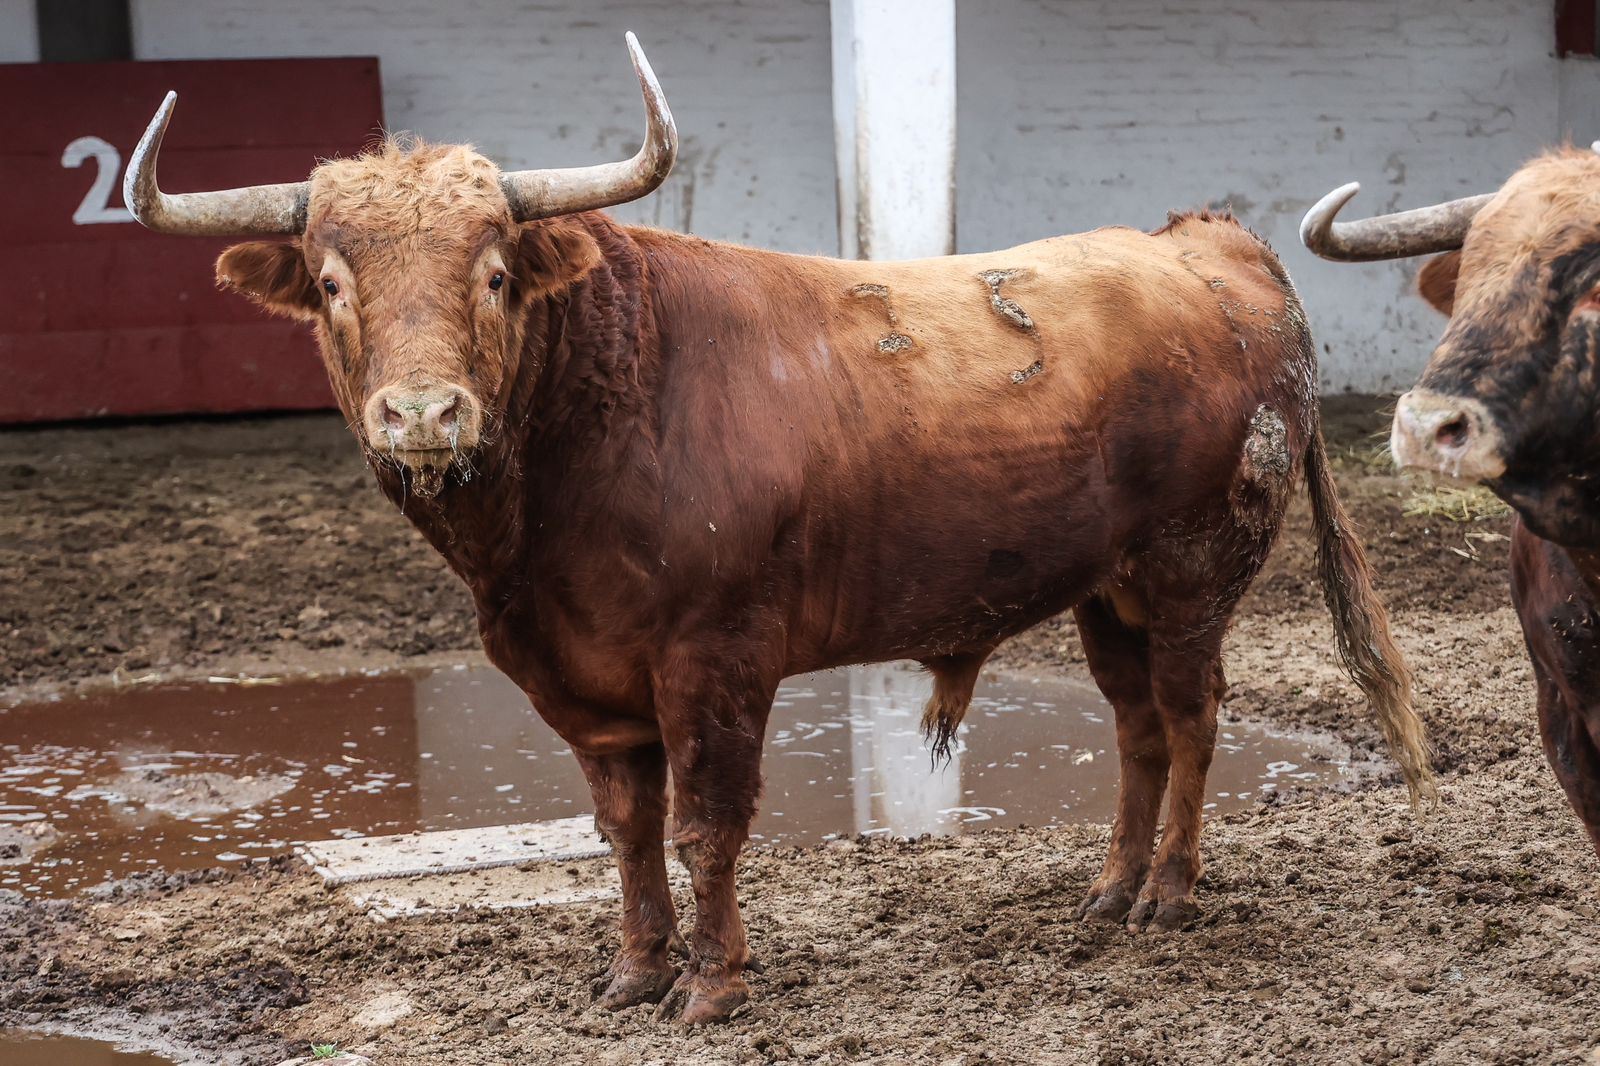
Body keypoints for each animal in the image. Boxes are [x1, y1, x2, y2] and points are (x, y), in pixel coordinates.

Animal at [128, 35, 1427, 1024]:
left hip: (1192, 574)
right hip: (1106, 591)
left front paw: (711, 988)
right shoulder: (584, 687)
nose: (422, 413)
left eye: (493, 274)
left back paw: (1167, 894)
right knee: (1135, 727)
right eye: (331, 282)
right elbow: (627, 832)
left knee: (1193, 718)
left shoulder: (716, 660)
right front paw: (633, 974)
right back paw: (1106, 893)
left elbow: (707, 825)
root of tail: (1203, 242)